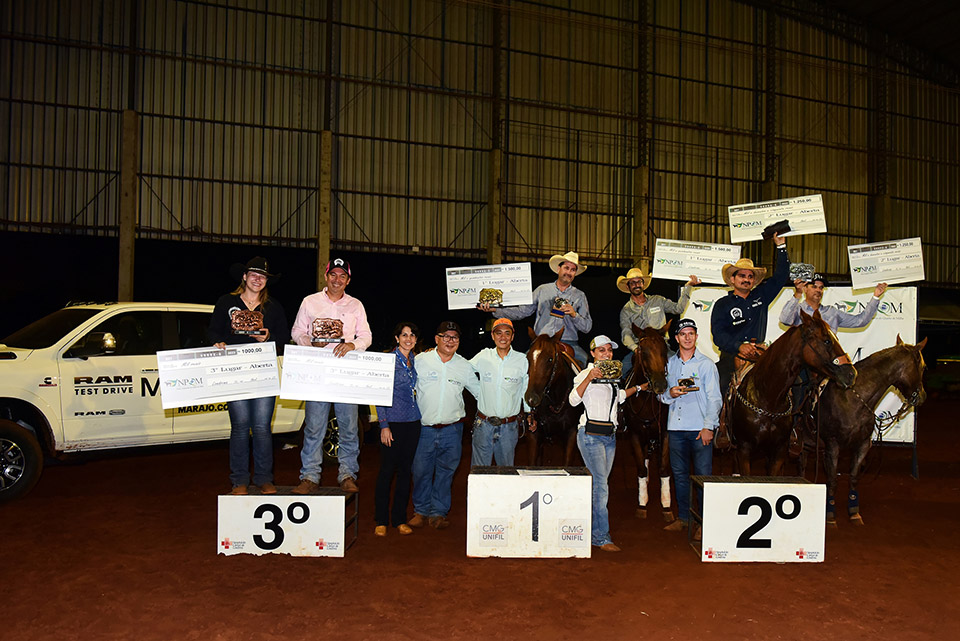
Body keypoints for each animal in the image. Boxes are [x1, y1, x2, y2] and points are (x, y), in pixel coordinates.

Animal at [808, 336, 928, 524]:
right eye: (923, 367)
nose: (922, 396)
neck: (852, 398)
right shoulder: (832, 444)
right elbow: (833, 480)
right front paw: (830, 513)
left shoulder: (863, 444)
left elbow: (854, 477)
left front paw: (854, 511)